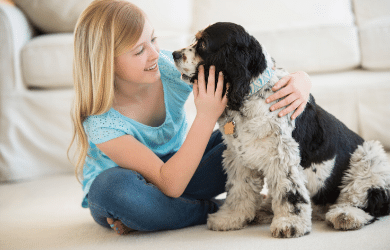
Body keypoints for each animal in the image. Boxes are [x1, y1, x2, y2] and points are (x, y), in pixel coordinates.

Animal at [173, 22, 390, 238]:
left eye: (203, 43)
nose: (174, 53)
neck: (252, 93)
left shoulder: (283, 156)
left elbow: (290, 193)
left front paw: (290, 224)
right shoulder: (239, 158)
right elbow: (239, 191)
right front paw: (230, 218)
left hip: (369, 157)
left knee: (369, 202)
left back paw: (346, 215)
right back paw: (264, 210)